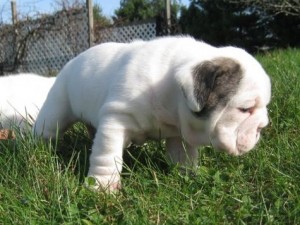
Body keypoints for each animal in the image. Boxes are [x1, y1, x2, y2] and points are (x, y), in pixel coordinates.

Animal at [33, 36, 272, 190]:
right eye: (245, 109)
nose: (263, 125)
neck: (170, 89)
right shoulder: (115, 120)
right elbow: (107, 155)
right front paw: (102, 186)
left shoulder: (178, 134)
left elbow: (183, 157)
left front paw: (188, 177)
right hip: (57, 108)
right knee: (48, 128)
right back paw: (36, 148)